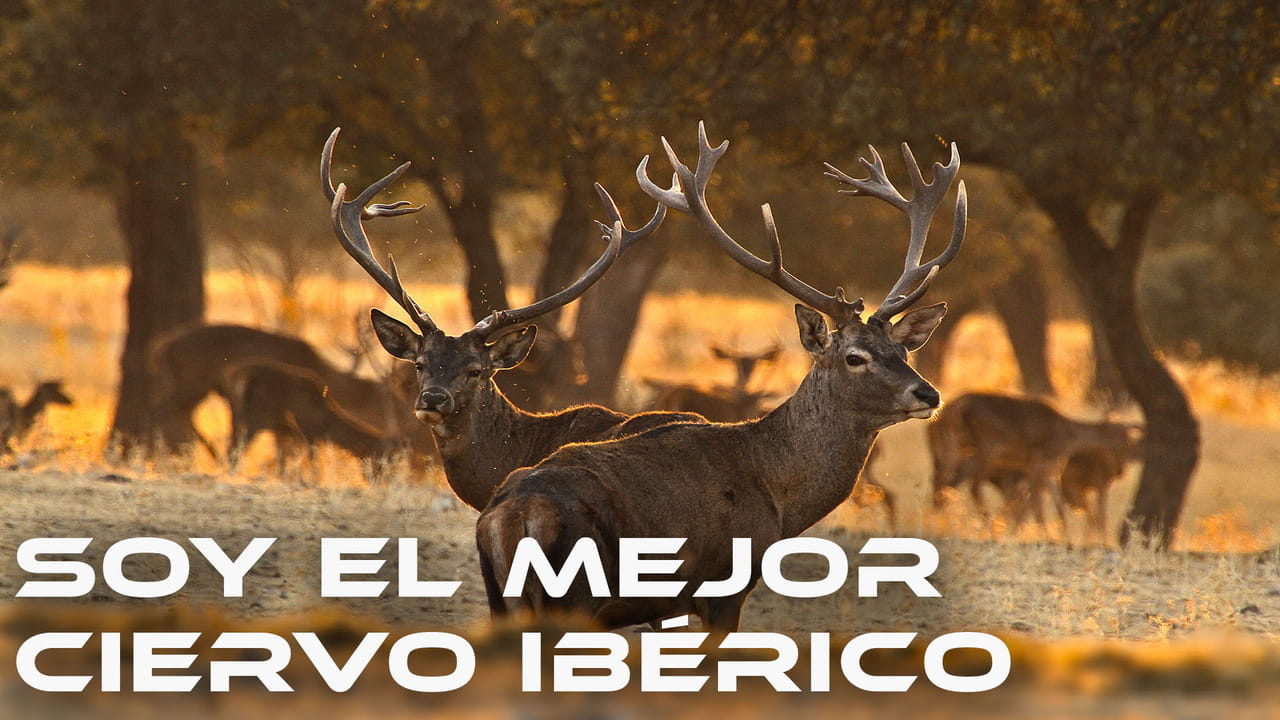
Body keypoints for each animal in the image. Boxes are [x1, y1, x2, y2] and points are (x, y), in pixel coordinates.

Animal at [475, 122, 966, 631]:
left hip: (501, 597)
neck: (777, 496)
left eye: (904, 351)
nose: (928, 394)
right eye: (855, 357)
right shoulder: (724, 585)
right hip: (575, 596)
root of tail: (511, 516)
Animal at [927, 392, 1142, 531]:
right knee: (971, 485)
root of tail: (958, 409)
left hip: (954, 446)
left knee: (942, 482)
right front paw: (1044, 533)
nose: (1120, 471)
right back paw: (987, 522)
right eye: (1124, 438)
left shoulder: (1048, 468)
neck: (1070, 437)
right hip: (989, 446)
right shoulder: (1041, 461)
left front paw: (1063, 536)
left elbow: (1054, 504)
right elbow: (1036, 503)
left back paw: (936, 520)